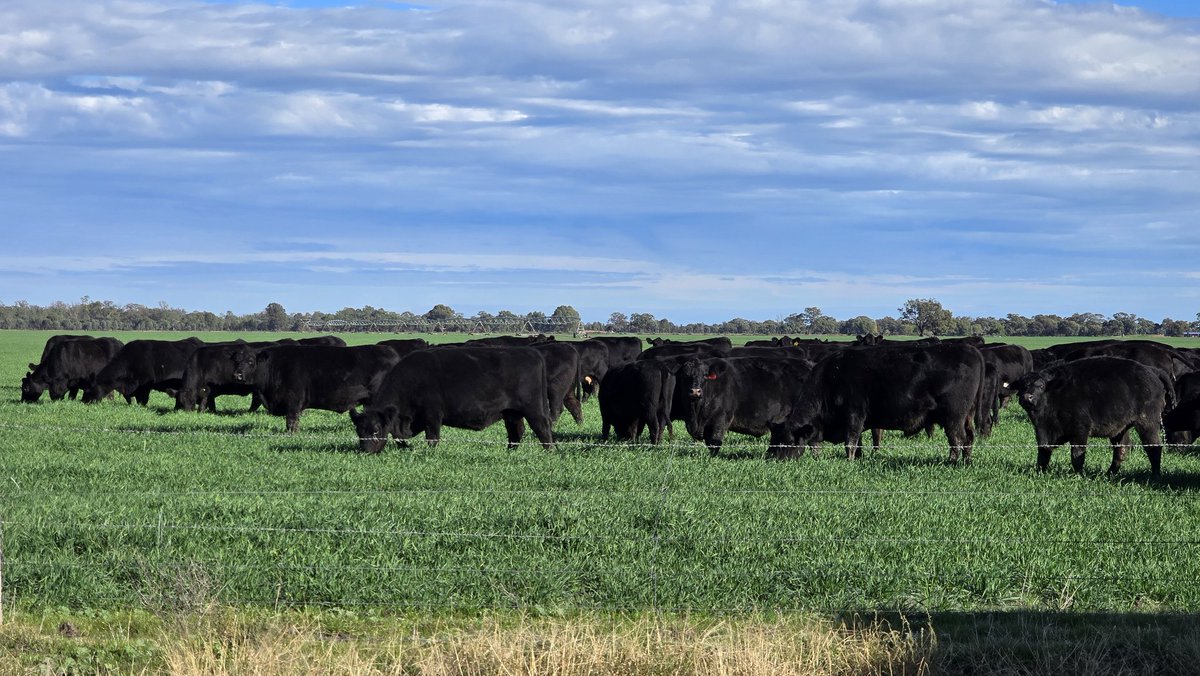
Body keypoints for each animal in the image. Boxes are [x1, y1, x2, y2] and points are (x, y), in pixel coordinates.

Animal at [349, 346, 554, 453]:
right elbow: (399, 437)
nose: (366, 451)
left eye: (376, 430)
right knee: (516, 432)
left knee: (542, 428)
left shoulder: (432, 415)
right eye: (359, 430)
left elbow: (432, 438)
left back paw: (549, 452)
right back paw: (510, 452)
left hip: (533, 409)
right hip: (511, 412)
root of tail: (530, 351)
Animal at [780, 343, 987, 464]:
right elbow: (858, 442)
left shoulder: (854, 414)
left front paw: (849, 461)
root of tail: (970, 349)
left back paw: (951, 462)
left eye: (788, 440)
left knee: (957, 440)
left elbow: (850, 442)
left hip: (953, 417)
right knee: (969, 438)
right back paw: (966, 461)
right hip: (966, 416)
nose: (776, 459)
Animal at [1007, 356, 1173, 477]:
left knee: (1153, 448)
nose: (1027, 397)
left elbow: (1077, 454)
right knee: (1121, 449)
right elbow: (1043, 453)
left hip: (1148, 424)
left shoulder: (1080, 430)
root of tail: (1152, 370)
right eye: (1021, 386)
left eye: (1041, 386)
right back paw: (1109, 474)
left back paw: (1155, 475)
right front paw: (1040, 472)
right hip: (1120, 429)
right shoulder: (1042, 433)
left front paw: (1078, 475)